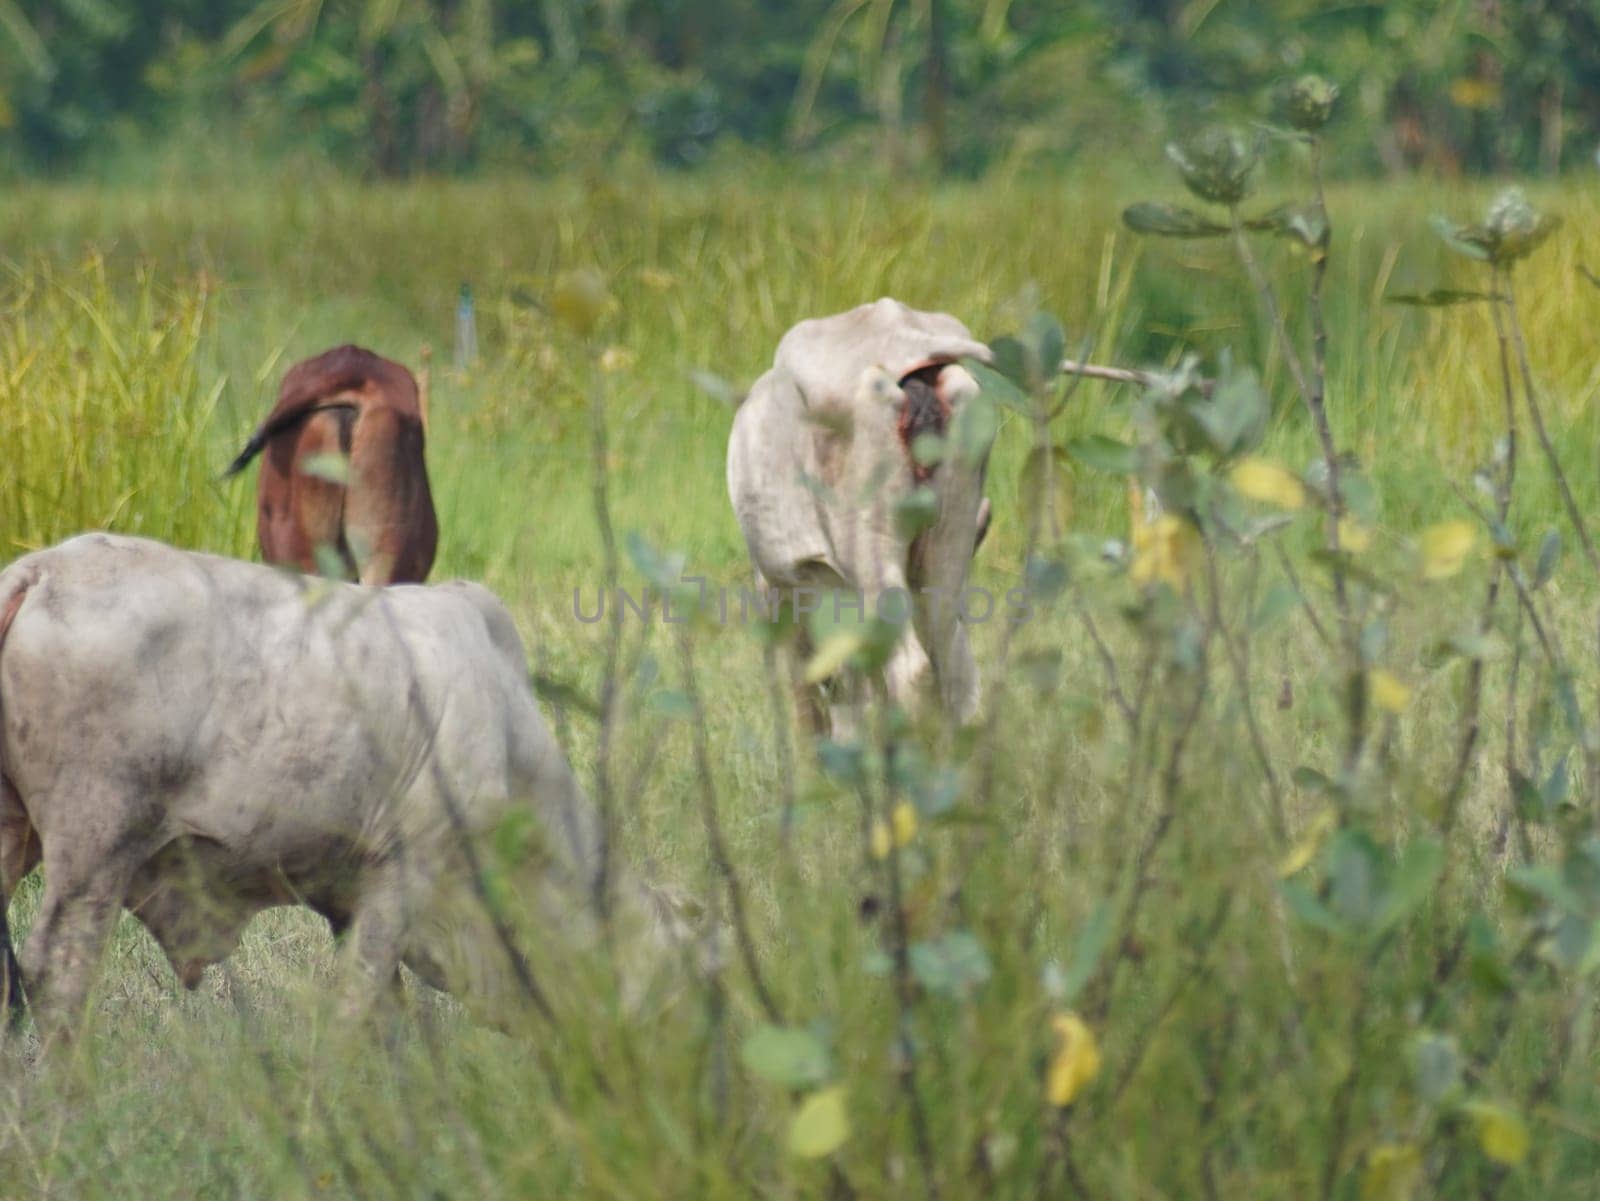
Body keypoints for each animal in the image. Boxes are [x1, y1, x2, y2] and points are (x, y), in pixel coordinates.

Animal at [0, 530, 662, 1036]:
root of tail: (39, 570)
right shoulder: (405, 872)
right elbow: (356, 1007)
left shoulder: (346, 899)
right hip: (96, 849)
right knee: (56, 978)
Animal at [729, 295, 998, 738]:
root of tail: (906, 340)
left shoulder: (788, 587)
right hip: (947, 546)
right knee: (944, 662)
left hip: (868, 547)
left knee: (909, 670)